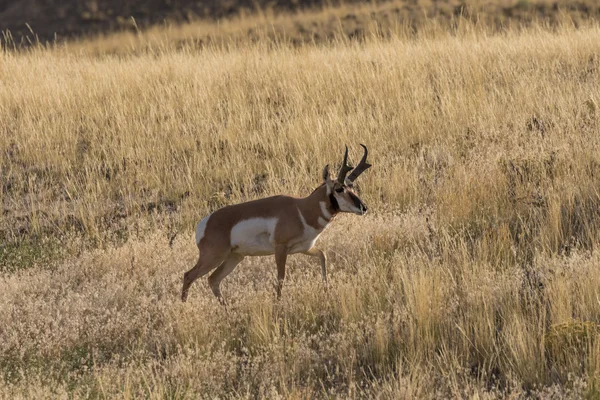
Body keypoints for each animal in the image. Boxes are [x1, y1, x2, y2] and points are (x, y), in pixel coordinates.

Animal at [180, 145, 372, 304]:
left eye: (351, 186)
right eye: (339, 188)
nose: (364, 207)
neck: (301, 209)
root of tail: (204, 223)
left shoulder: (305, 248)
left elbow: (322, 256)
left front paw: (326, 290)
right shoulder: (281, 248)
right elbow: (281, 277)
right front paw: (278, 304)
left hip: (235, 257)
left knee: (213, 279)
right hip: (213, 257)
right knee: (189, 275)